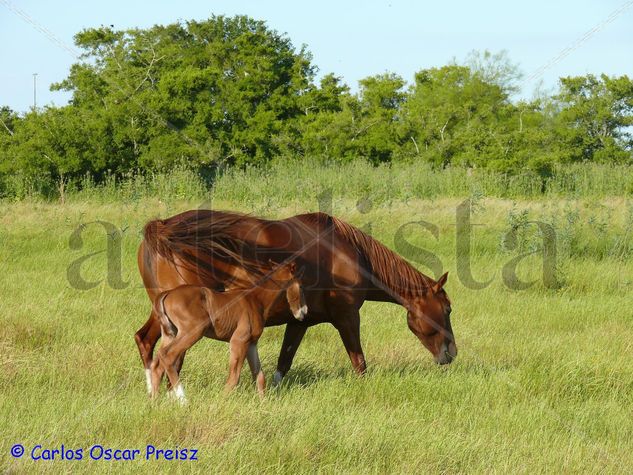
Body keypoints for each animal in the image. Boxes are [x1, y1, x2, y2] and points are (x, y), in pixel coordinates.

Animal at [149, 260, 304, 402]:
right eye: (301, 286)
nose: (303, 312)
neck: (256, 300)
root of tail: (167, 293)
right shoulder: (239, 341)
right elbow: (234, 377)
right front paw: (221, 402)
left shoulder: (251, 344)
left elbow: (259, 376)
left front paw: (263, 404)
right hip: (193, 332)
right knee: (167, 355)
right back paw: (183, 399)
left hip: (170, 333)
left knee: (157, 364)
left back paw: (154, 401)